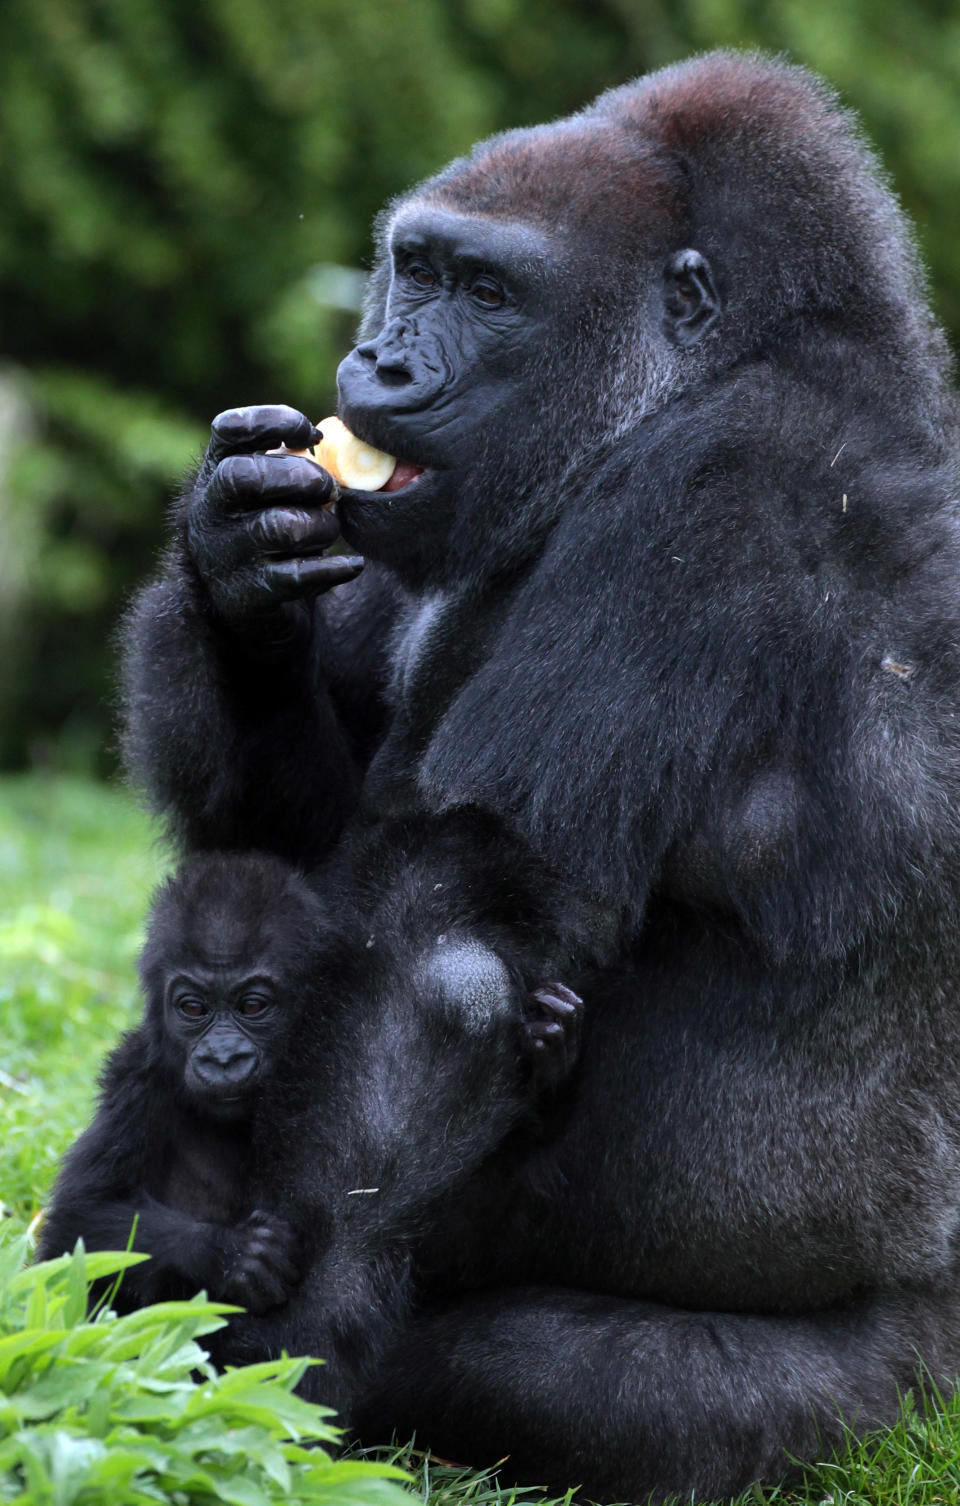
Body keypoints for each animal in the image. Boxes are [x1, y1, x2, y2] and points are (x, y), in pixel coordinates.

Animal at [125, 50, 960, 1506]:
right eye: (415, 267)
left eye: (490, 293)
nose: (384, 361)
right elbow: (273, 868)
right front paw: (234, 565)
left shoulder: (714, 487)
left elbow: (454, 941)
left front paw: (260, 1389)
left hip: (901, 1390)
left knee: (592, 1387)